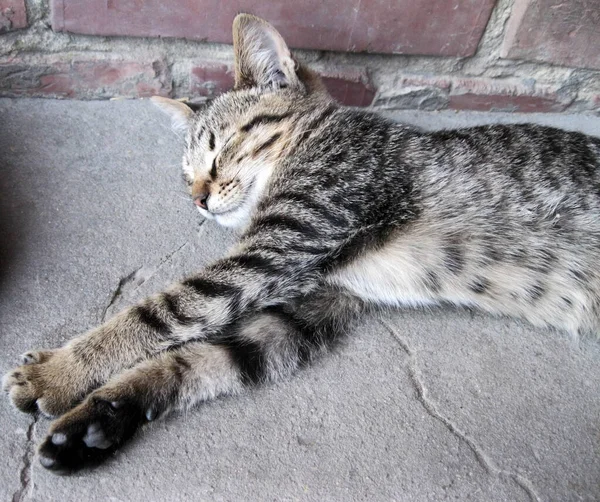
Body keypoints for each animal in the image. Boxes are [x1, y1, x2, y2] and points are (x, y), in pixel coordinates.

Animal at [3, 13, 600, 472]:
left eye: (219, 149)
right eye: (185, 174)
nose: (197, 200)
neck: (311, 142)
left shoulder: (281, 245)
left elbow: (160, 311)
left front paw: (58, 372)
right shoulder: (319, 298)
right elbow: (208, 358)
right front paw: (98, 419)